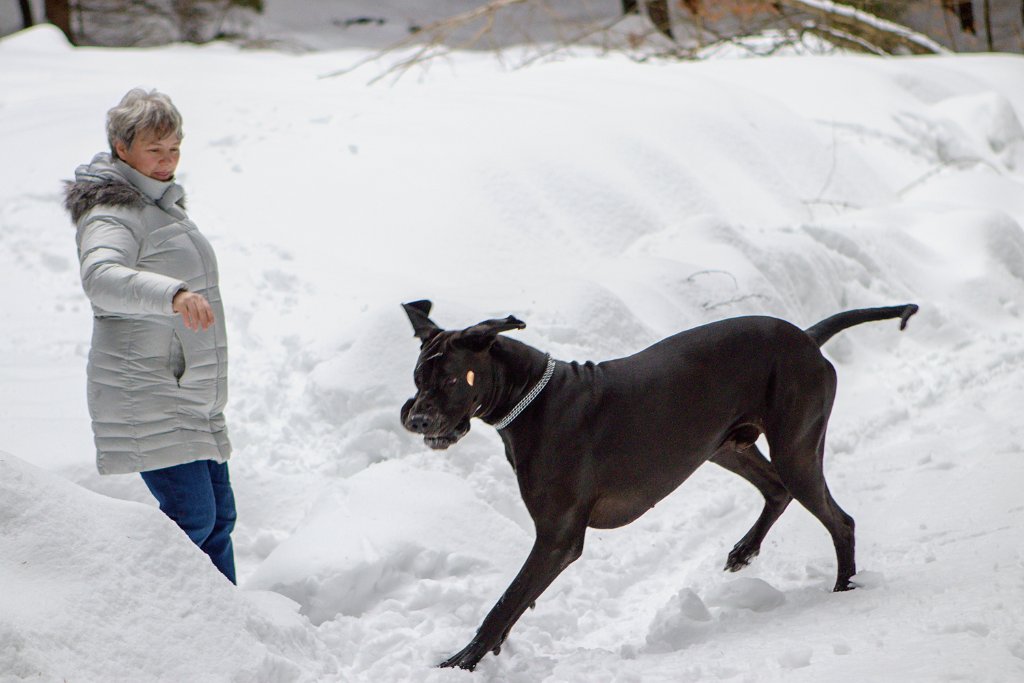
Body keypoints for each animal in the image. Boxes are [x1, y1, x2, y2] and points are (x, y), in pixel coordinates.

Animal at [399, 301, 921, 671]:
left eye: (451, 378)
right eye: (418, 376)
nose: (416, 419)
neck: (530, 398)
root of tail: (807, 339)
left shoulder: (558, 537)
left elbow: (504, 604)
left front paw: (459, 663)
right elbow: (514, 605)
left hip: (795, 447)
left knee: (839, 519)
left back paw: (844, 588)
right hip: (724, 446)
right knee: (777, 490)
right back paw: (744, 551)